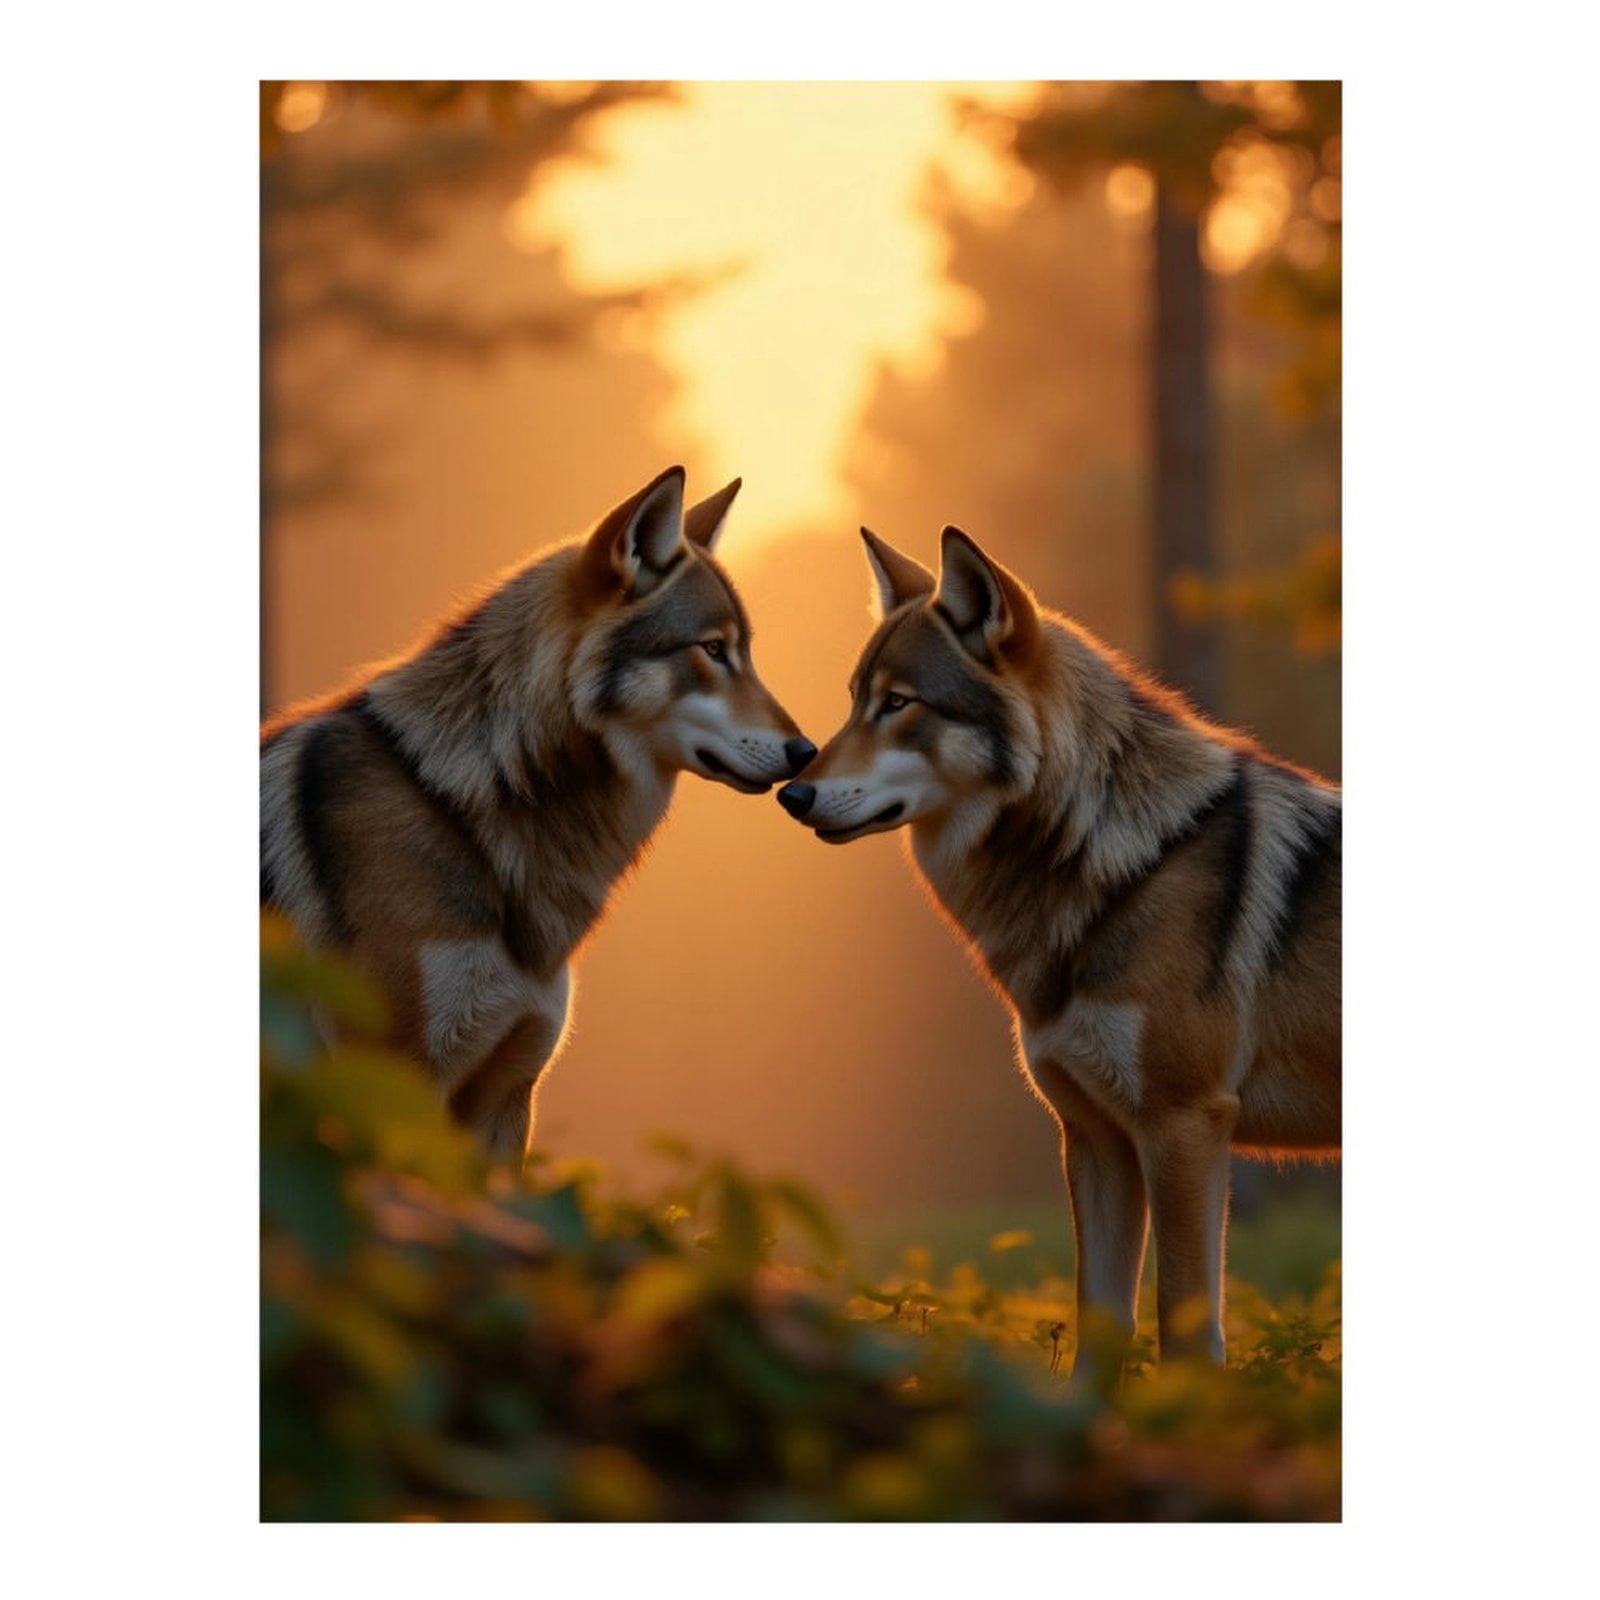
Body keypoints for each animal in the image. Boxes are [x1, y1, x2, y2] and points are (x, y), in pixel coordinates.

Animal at [261, 467, 814, 1158]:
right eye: (713, 649)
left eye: (746, 652)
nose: (807, 753)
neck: (459, 802)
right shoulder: (394, 1095)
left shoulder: (505, 1099)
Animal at [778, 525, 1340, 1371]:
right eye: (853, 701)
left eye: (899, 704)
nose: (792, 792)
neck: (1119, 863)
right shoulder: (1096, 1139)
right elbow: (1097, 1330)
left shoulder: (1185, 1128)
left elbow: (1184, 1330)